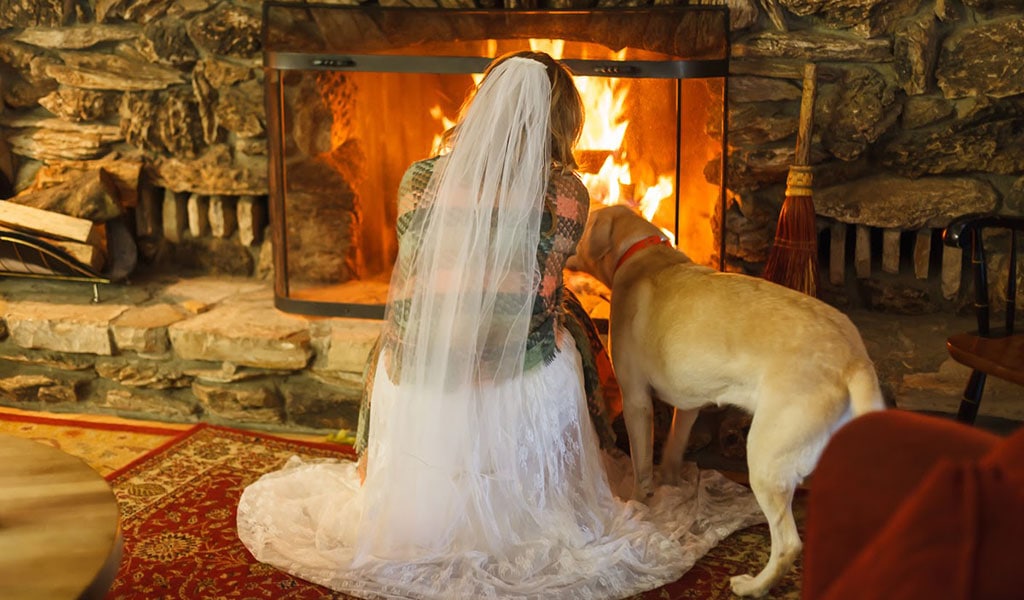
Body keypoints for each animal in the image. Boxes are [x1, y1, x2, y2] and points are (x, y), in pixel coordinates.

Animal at [565, 204, 884, 593]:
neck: (643, 253)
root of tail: (854, 356)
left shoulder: (636, 398)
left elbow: (641, 465)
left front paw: (640, 505)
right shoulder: (688, 404)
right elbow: (673, 449)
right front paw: (672, 484)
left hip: (764, 458)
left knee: (788, 543)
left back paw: (755, 586)